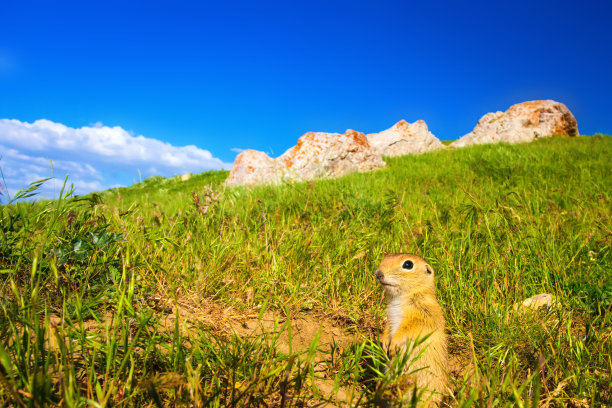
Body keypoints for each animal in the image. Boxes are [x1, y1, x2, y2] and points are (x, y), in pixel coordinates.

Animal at [372, 253, 450, 406]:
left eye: (408, 264)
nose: (378, 273)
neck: (401, 297)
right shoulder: (391, 316)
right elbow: (388, 327)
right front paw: (384, 343)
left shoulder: (423, 315)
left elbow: (408, 329)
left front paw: (393, 344)